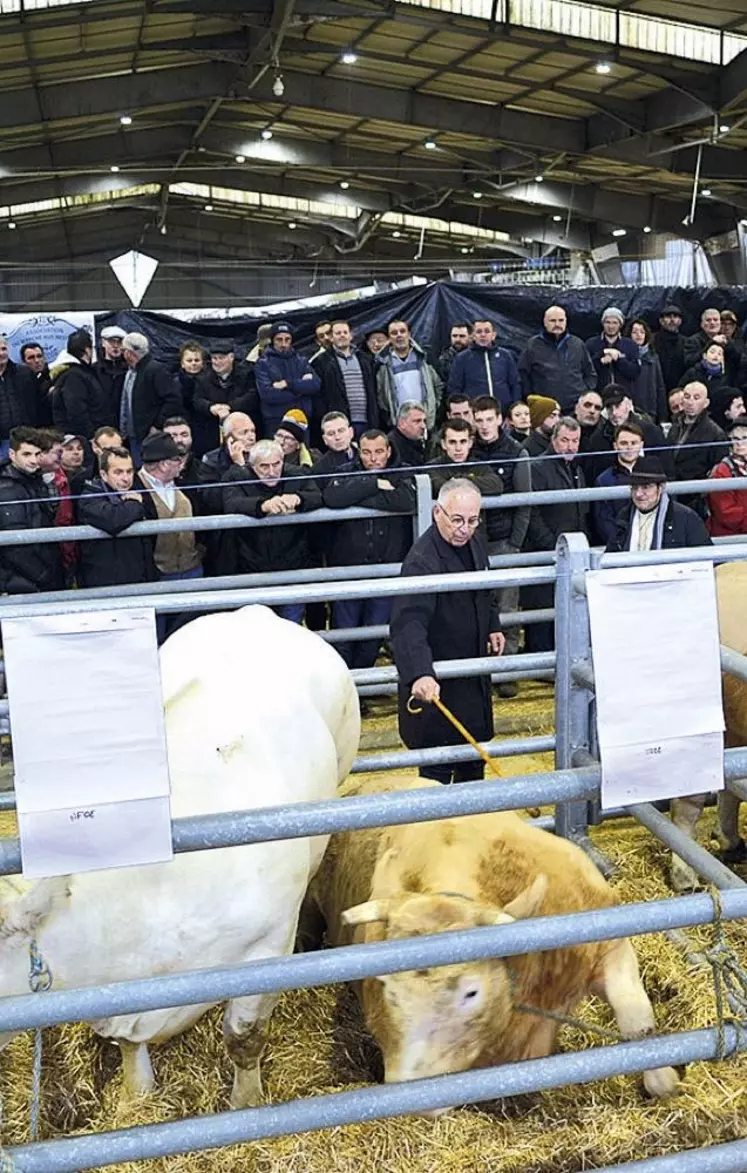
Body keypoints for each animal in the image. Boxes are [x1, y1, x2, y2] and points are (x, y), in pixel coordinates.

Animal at [0, 605, 358, 1107]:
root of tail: (252, 611)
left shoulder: (267, 947)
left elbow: (244, 1037)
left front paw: (246, 1103)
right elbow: (128, 1042)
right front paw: (136, 1094)